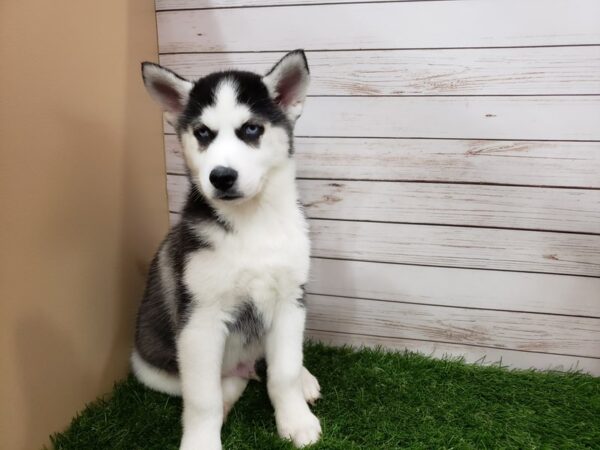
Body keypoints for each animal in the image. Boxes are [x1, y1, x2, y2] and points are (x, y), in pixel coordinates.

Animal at [129, 51, 322, 448]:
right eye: (203, 132)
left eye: (251, 129)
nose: (221, 177)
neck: (252, 224)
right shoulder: (200, 320)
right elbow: (203, 399)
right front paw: (201, 442)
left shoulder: (290, 301)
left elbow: (284, 372)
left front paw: (296, 420)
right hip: (151, 367)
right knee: (221, 384)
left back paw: (304, 378)